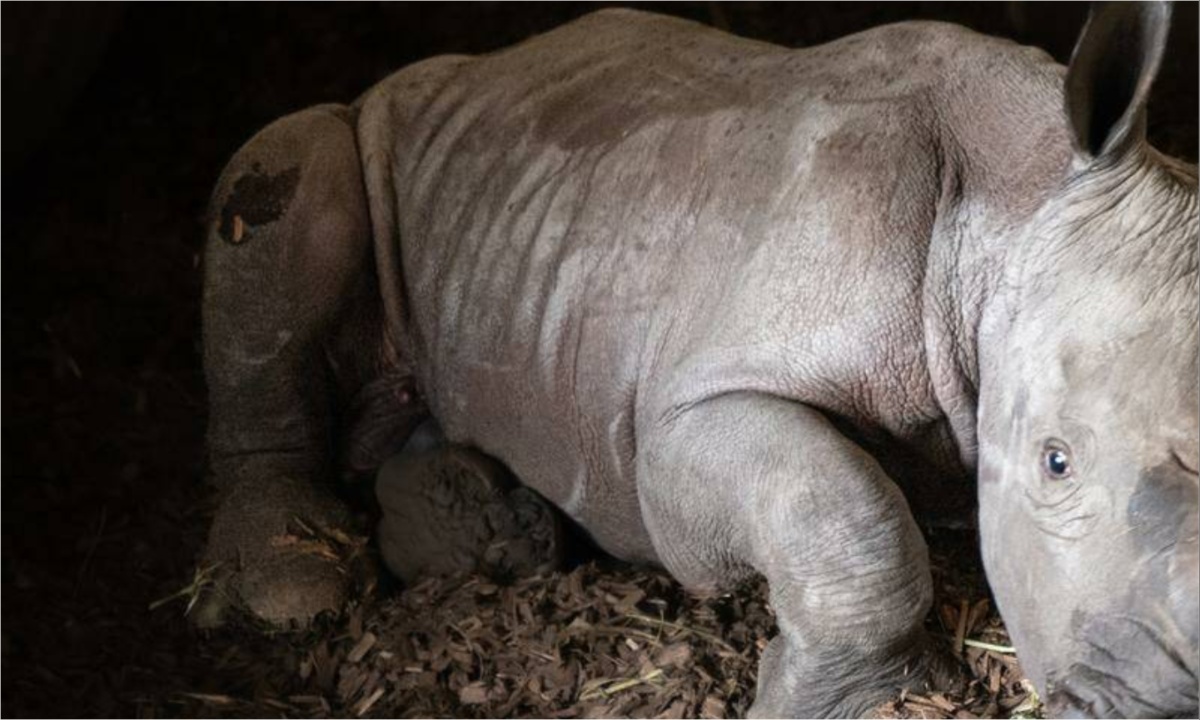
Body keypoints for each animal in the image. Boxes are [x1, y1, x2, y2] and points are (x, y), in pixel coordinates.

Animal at [201, 2, 1195, 715]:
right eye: (1055, 463)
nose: (1168, 698)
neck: (1020, 197)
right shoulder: (685, 413)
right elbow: (841, 508)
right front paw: (833, 705)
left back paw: (486, 531)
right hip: (357, 133)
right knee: (286, 177)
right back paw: (299, 590)